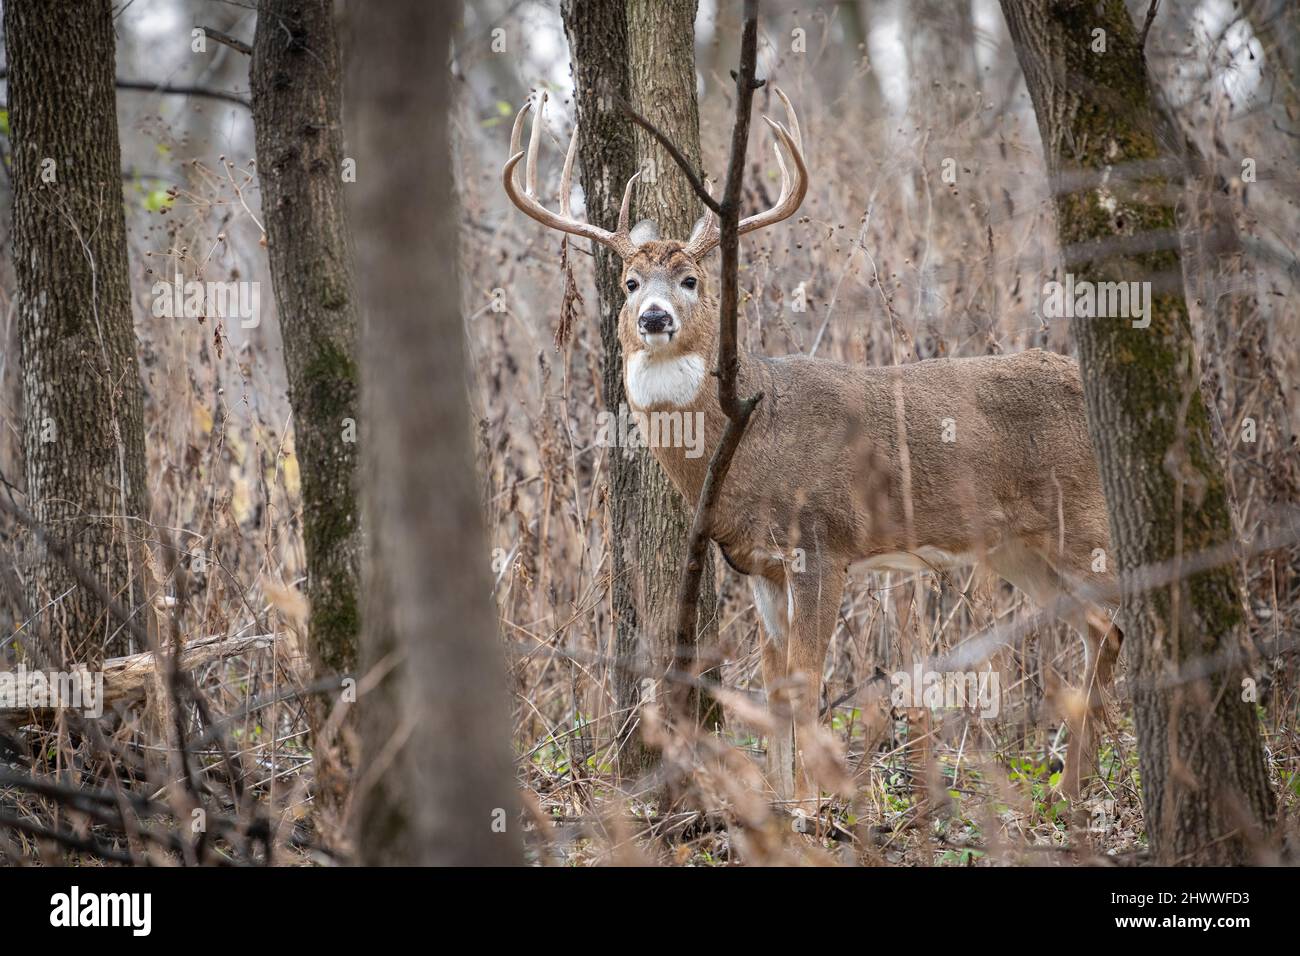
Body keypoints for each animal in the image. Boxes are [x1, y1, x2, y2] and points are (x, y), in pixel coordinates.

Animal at [501, 91, 1123, 806]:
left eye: (690, 279)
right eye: (630, 282)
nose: (654, 318)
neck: (748, 441)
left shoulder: (823, 544)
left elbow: (807, 685)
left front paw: (808, 805)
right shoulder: (759, 567)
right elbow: (775, 692)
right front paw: (779, 799)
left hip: (1086, 524)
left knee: (1128, 621)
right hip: (1021, 549)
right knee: (1097, 632)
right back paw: (1070, 789)